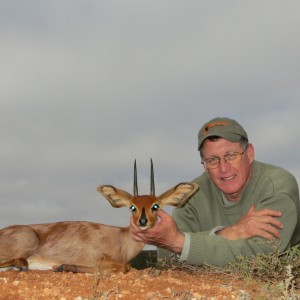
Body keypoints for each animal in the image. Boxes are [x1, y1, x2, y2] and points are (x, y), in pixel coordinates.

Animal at [0, 161, 198, 274]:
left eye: (155, 206)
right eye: (132, 207)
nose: (142, 221)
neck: (121, 240)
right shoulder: (99, 257)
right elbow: (122, 267)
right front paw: (65, 266)